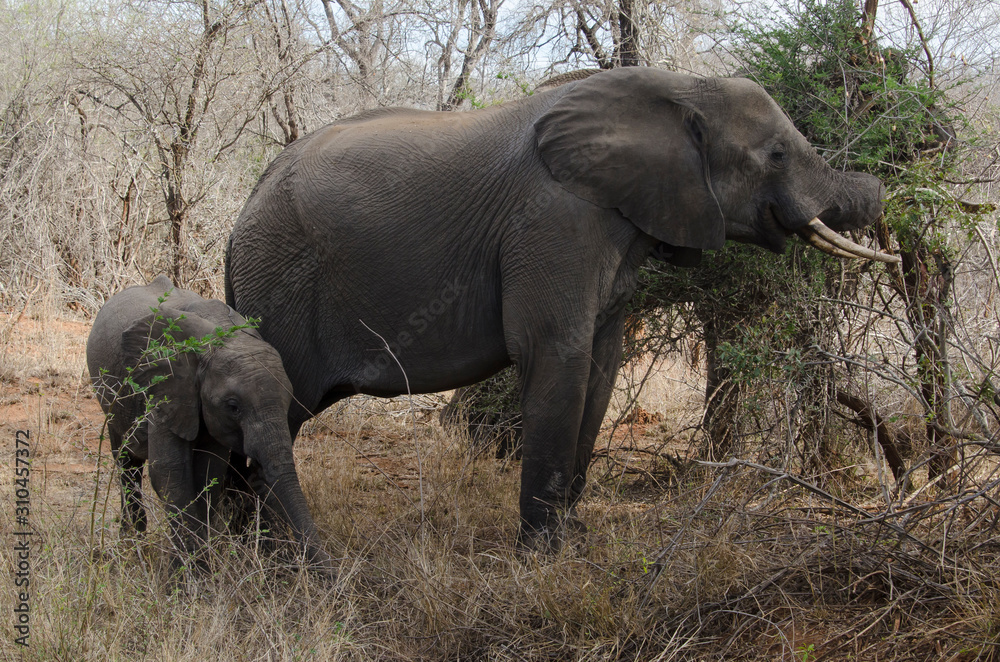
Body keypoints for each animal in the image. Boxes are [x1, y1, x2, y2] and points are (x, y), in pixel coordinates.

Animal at [86, 278, 326, 568]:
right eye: (233, 407)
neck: (220, 337)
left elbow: (209, 471)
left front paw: (203, 560)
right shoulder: (166, 387)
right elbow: (169, 471)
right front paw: (189, 572)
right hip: (112, 401)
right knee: (126, 462)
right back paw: (132, 544)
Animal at [229, 67, 900, 548]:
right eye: (778, 155)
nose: (883, 193)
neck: (681, 87)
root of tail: (244, 210)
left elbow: (602, 364)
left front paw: (574, 539)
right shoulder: (555, 221)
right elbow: (555, 354)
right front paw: (543, 557)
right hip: (281, 285)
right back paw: (261, 554)